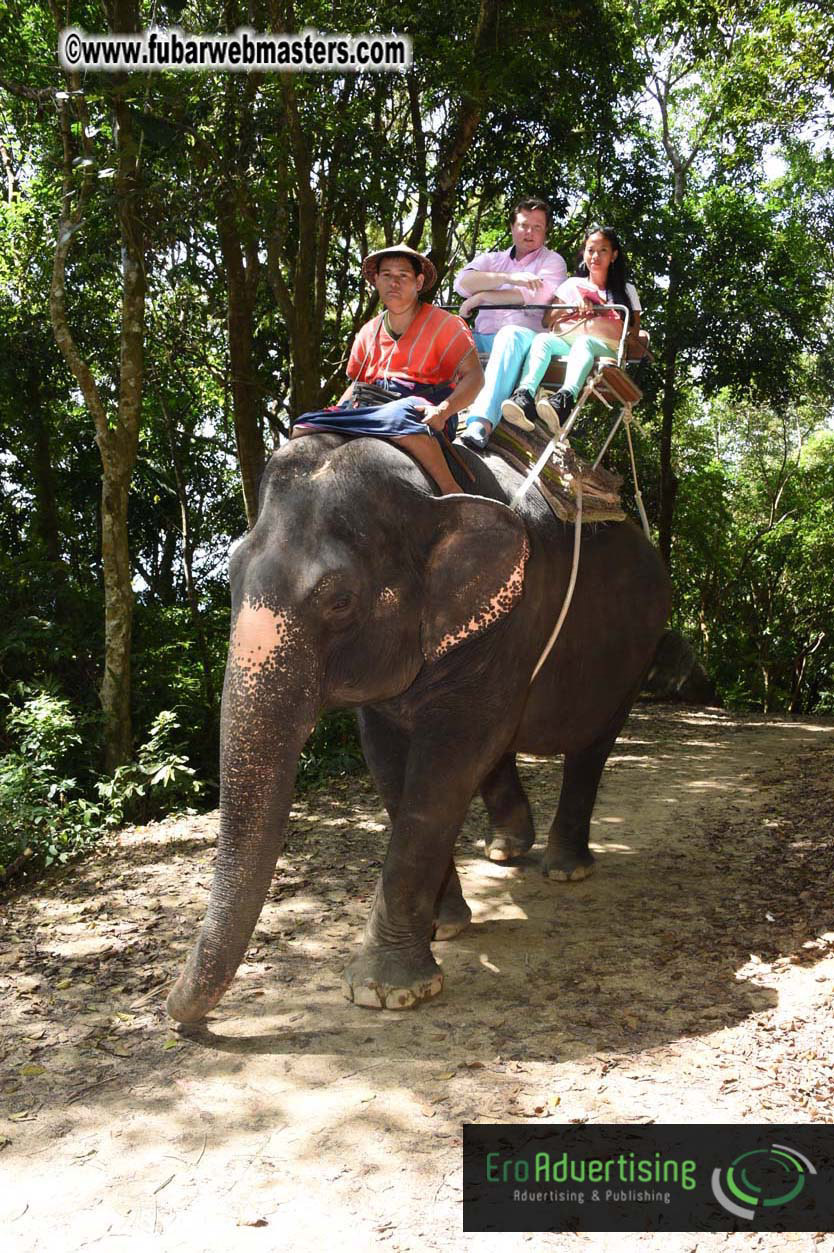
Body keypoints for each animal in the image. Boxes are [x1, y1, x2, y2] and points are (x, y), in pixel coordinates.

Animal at [166, 432, 670, 1022]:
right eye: (228, 577)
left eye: (340, 601)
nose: (175, 1015)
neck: (433, 493)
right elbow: (388, 762)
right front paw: (445, 928)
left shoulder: (512, 619)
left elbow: (447, 764)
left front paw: (384, 990)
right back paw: (505, 849)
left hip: (640, 649)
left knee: (591, 744)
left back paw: (566, 869)